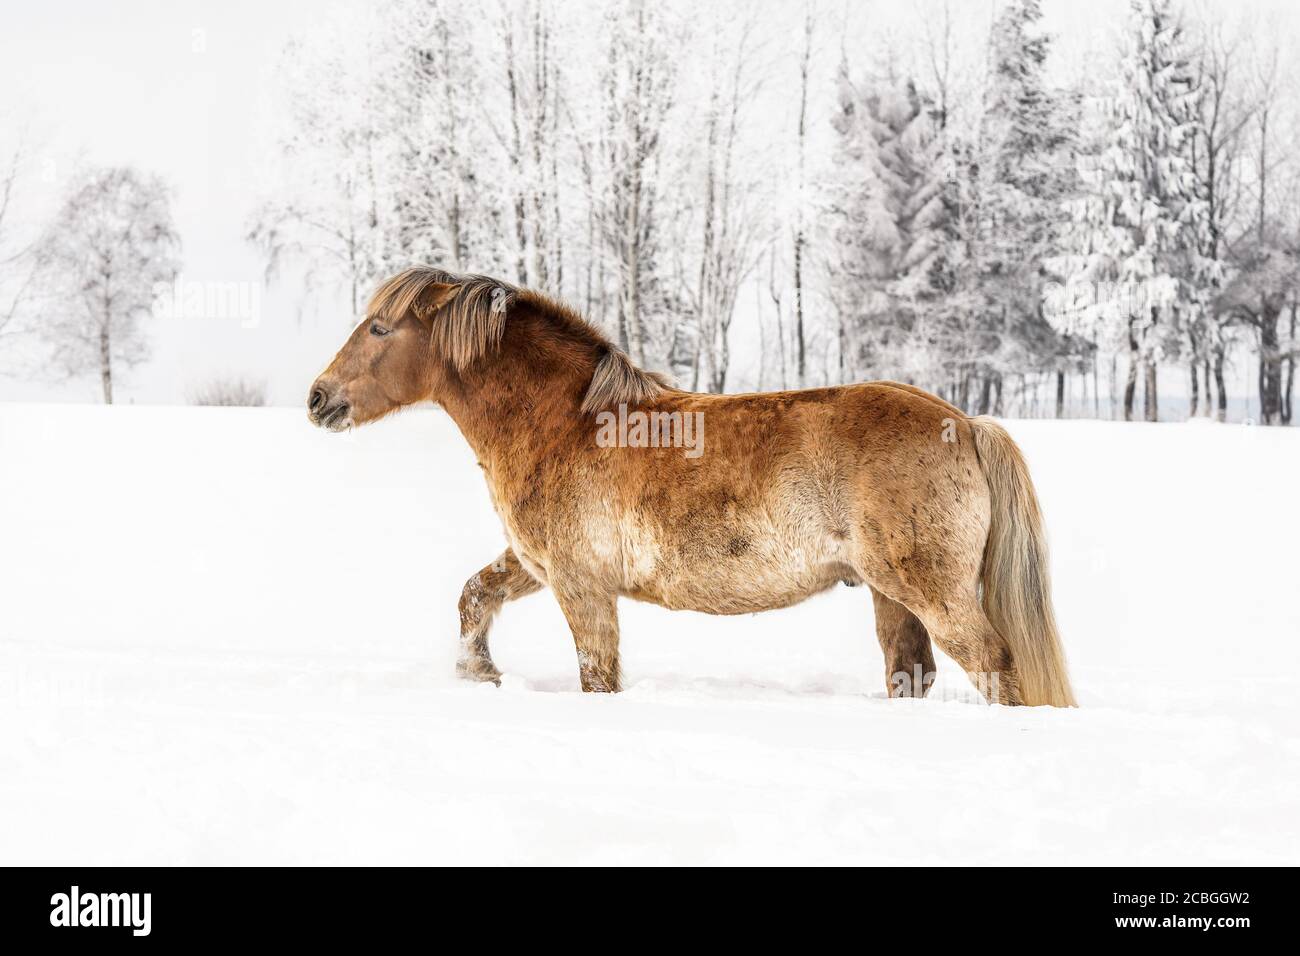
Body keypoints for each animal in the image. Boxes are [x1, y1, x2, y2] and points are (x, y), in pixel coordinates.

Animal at [306, 265, 1076, 707]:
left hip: (932, 590)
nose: (318, 398)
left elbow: (598, 677)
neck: (568, 421)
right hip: (890, 595)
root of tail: (965, 423)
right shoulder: (535, 564)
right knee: (910, 672)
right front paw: (480, 677)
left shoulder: (580, 584)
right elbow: (473, 596)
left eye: (379, 329)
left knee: (995, 667)